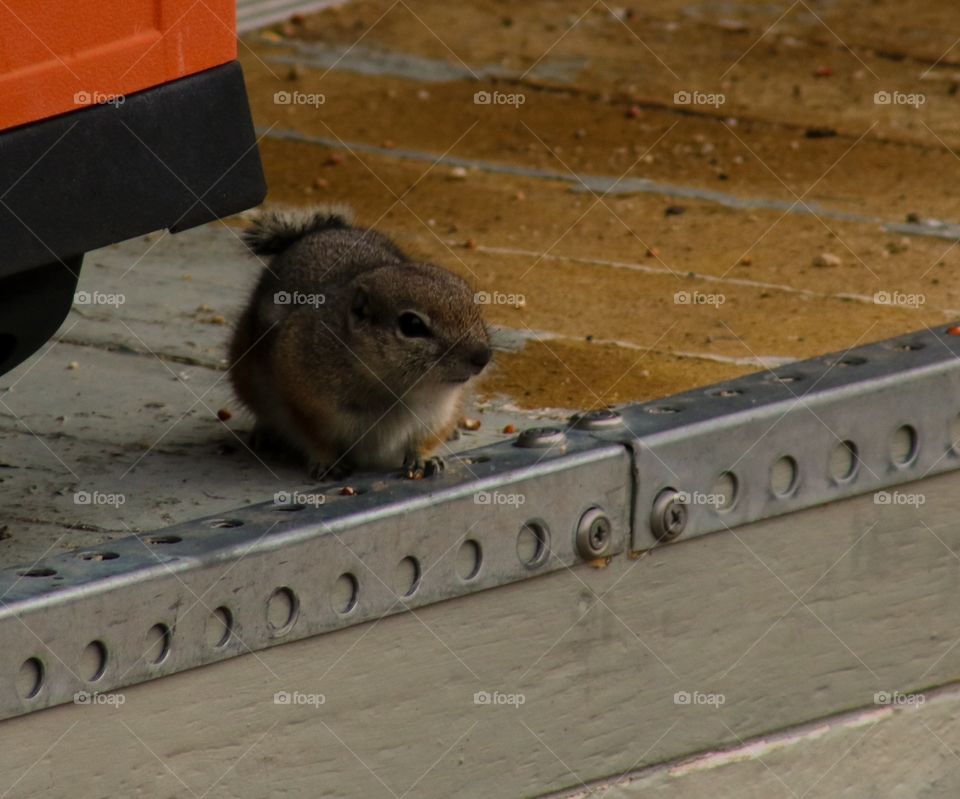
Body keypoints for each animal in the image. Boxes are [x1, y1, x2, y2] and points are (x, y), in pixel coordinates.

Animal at [228, 205, 492, 480]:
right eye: (412, 324)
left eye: (474, 305)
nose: (483, 357)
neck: (397, 390)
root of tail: (311, 235)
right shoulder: (302, 399)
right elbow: (314, 438)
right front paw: (326, 463)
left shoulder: (439, 414)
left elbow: (425, 440)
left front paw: (425, 459)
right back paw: (264, 434)